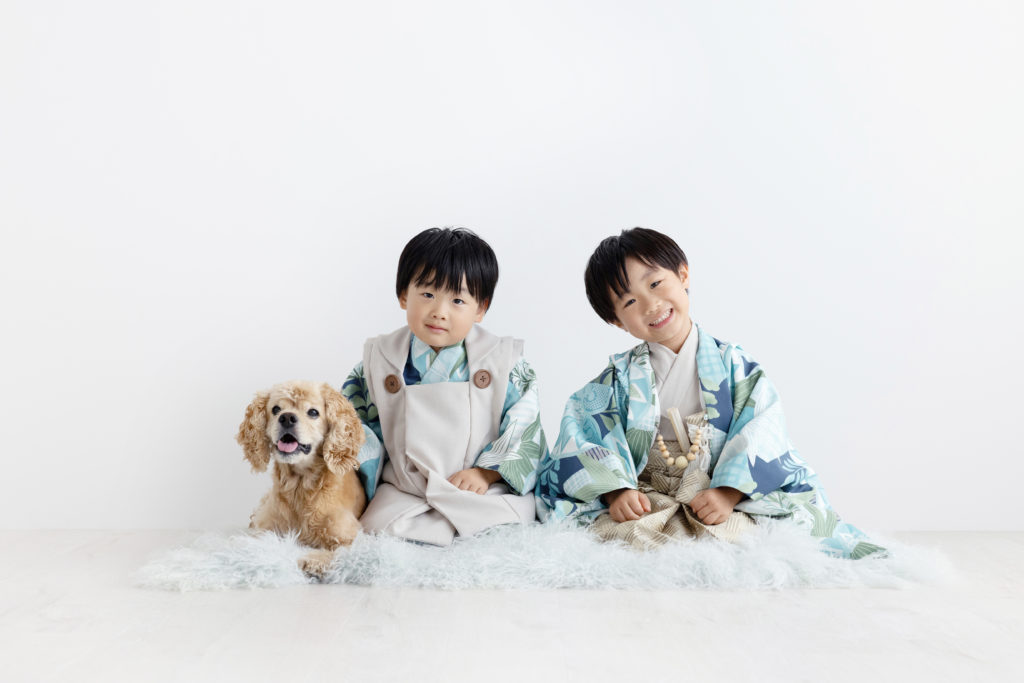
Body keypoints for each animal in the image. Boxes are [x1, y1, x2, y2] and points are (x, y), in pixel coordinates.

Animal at [236, 381, 366, 577]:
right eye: (276, 409)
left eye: (313, 412)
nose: (287, 418)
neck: (299, 485)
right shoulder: (266, 528)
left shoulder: (350, 536)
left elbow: (340, 552)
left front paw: (314, 560)